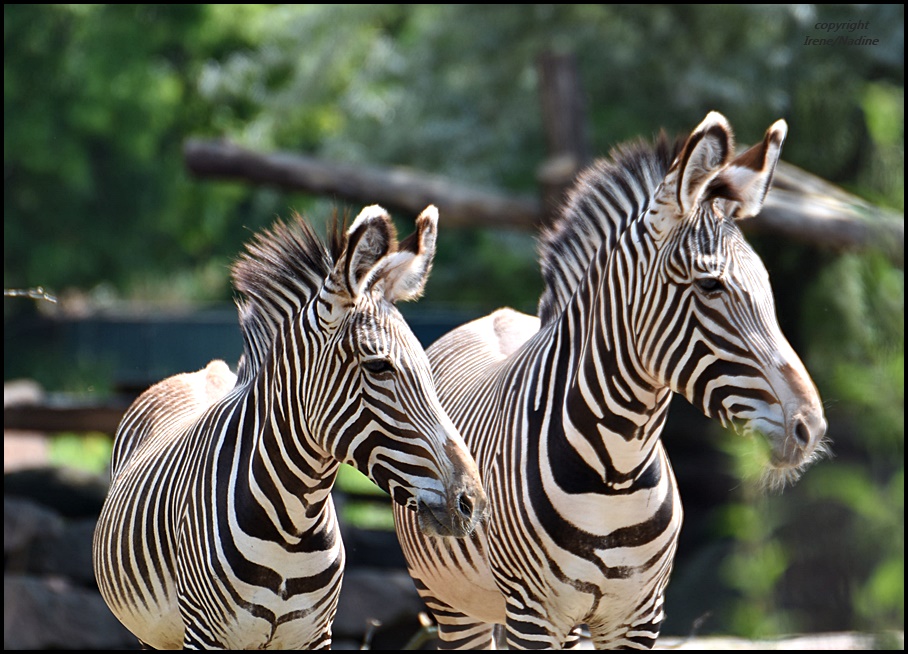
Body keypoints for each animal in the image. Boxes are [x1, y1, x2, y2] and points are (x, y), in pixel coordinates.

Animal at [93, 204, 490, 652]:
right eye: (378, 366)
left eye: (426, 366)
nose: (472, 503)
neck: (292, 528)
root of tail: (205, 371)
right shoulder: (205, 636)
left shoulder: (315, 636)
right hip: (154, 635)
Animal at [394, 114, 828, 652]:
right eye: (710, 285)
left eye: (767, 287)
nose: (809, 428)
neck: (616, 475)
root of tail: (494, 316)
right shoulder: (534, 617)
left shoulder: (639, 617)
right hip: (452, 604)